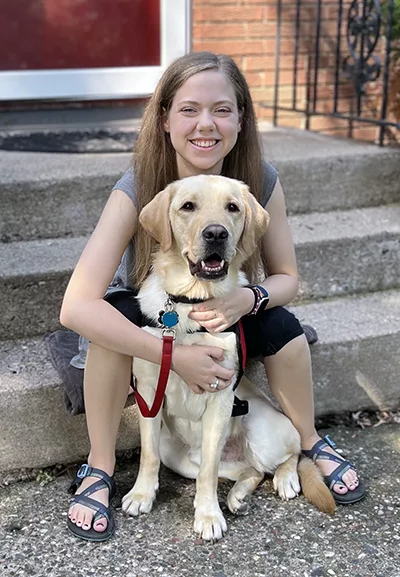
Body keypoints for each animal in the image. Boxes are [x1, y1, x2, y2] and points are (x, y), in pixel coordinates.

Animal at [121, 174, 334, 540]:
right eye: (187, 206)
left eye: (232, 207)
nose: (216, 234)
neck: (189, 305)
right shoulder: (149, 391)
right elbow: (148, 455)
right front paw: (141, 494)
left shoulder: (219, 397)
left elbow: (209, 470)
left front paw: (208, 515)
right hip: (178, 456)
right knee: (251, 472)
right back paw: (237, 498)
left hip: (263, 431)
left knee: (289, 454)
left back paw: (285, 479)